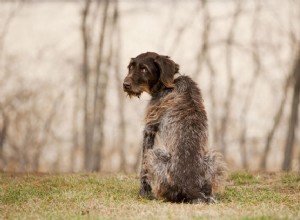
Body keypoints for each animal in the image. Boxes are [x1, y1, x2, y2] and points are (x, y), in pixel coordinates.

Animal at [123, 51, 226, 203]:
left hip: (154, 155)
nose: (125, 84)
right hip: (213, 158)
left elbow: (142, 170)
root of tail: (191, 188)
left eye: (144, 69)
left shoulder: (149, 130)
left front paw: (143, 193)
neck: (170, 84)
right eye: (130, 67)